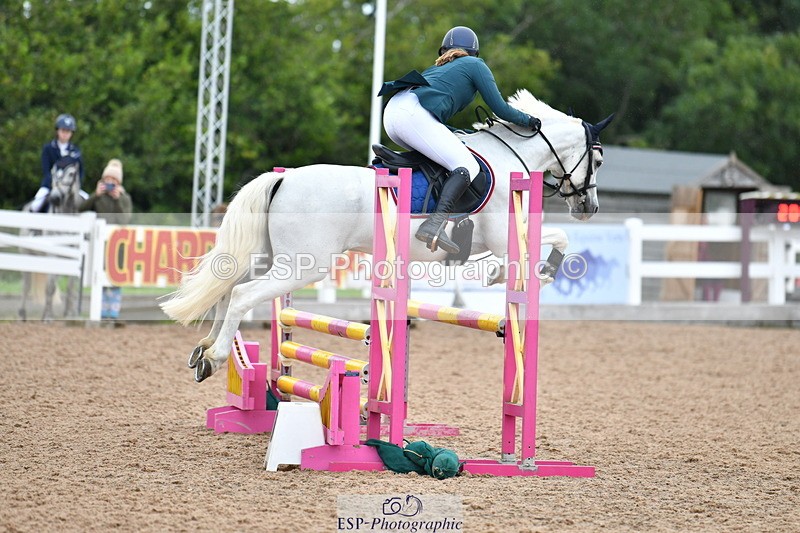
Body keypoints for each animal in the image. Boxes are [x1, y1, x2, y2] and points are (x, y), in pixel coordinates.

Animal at [19, 161, 83, 321]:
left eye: (71, 174)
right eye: (53, 174)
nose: (54, 198)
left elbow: (70, 286)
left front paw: (70, 315)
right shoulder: (53, 255)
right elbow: (51, 287)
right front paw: (48, 317)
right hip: (26, 255)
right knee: (26, 285)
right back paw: (22, 314)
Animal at [161, 90, 613, 382]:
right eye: (598, 159)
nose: (588, 207)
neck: (510, 158)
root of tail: (283, 179)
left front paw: (503, 274)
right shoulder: (505, 236)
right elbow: (557, 239)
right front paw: (520, 274)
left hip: (273, 258)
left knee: (227, 288)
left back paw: (205, 351)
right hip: (303, 266)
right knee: (241, 294)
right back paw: (218, 354)